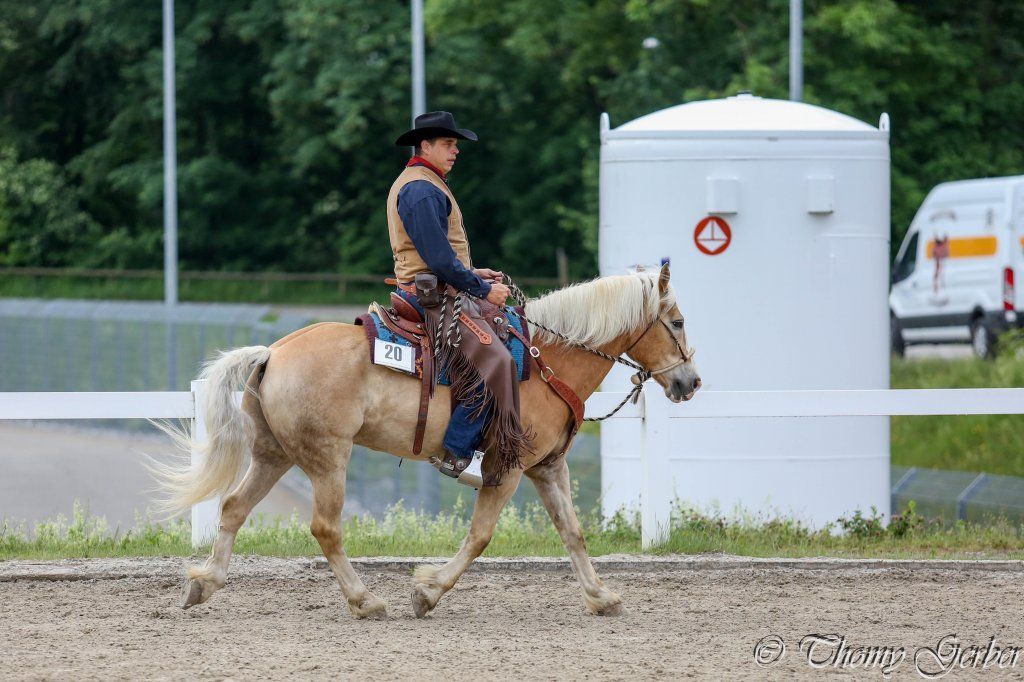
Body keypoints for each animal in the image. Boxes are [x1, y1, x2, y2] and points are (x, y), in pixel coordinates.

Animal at [152, 263, 700, 619]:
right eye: (676, 321)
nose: (690, 382)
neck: (545, 361)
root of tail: (274, 351)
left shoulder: (547, 468)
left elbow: (573, 532)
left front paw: (601, 596)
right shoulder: (507, 468)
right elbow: (479, 536)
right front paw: (427, 592)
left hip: (275, 454)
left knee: (233, 508)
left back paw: (204, 585)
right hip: (328, 459)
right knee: (325, 528)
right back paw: (366, 601)